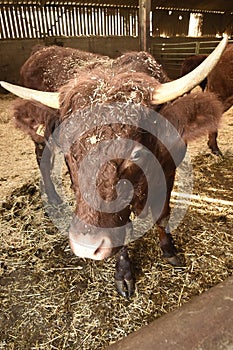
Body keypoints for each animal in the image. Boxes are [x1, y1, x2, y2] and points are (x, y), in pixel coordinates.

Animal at [0, 37, 228, 296]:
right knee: (42, 159)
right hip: (42, 137)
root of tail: (42, 49)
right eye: (70, 151)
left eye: (135, 152)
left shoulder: (169, 172)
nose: (86, 246)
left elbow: (163, 215)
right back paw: (54, 198)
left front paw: (169, 250)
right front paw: (124, 273)